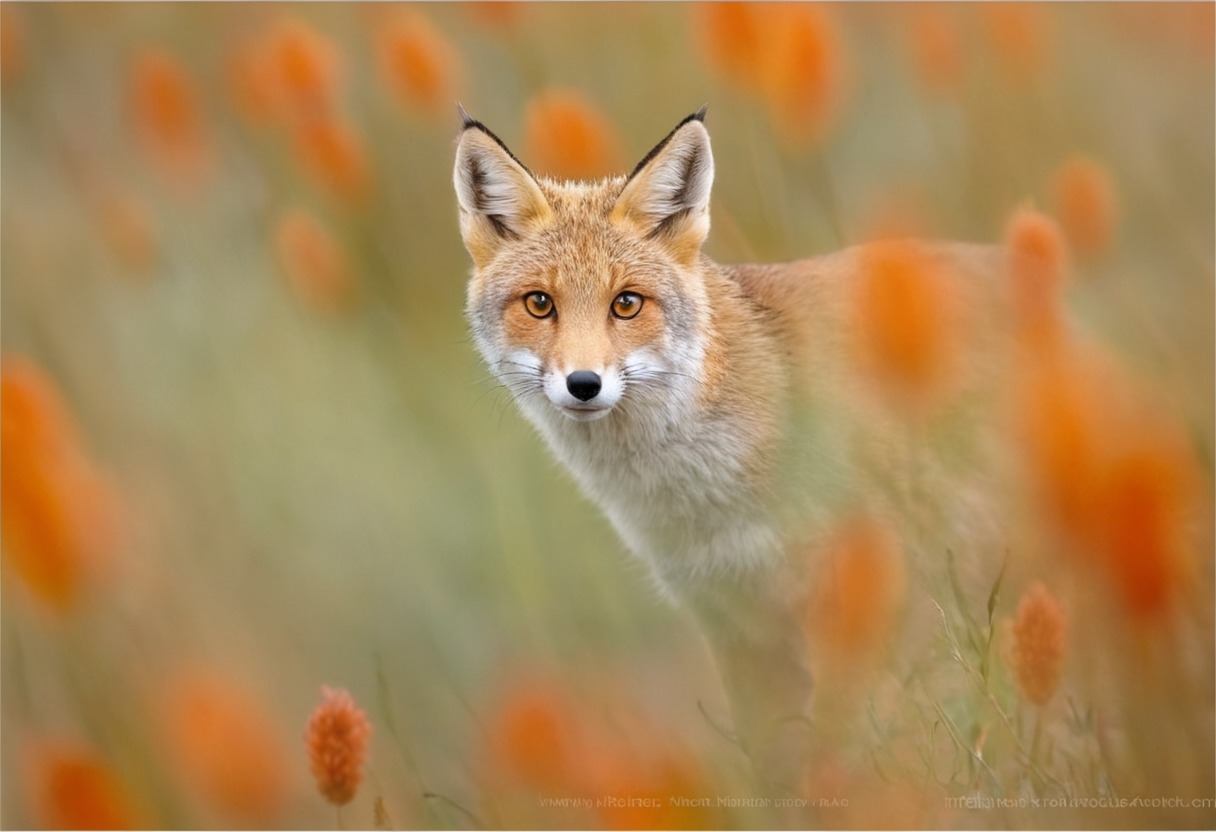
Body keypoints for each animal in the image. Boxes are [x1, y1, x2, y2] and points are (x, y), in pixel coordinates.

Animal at [452, 105, 1011, 788]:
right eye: (539, 303)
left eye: (626, 303)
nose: (584, 384)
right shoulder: (732, 622)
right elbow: (770, 764)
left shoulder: (849, 604)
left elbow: (839, 747)